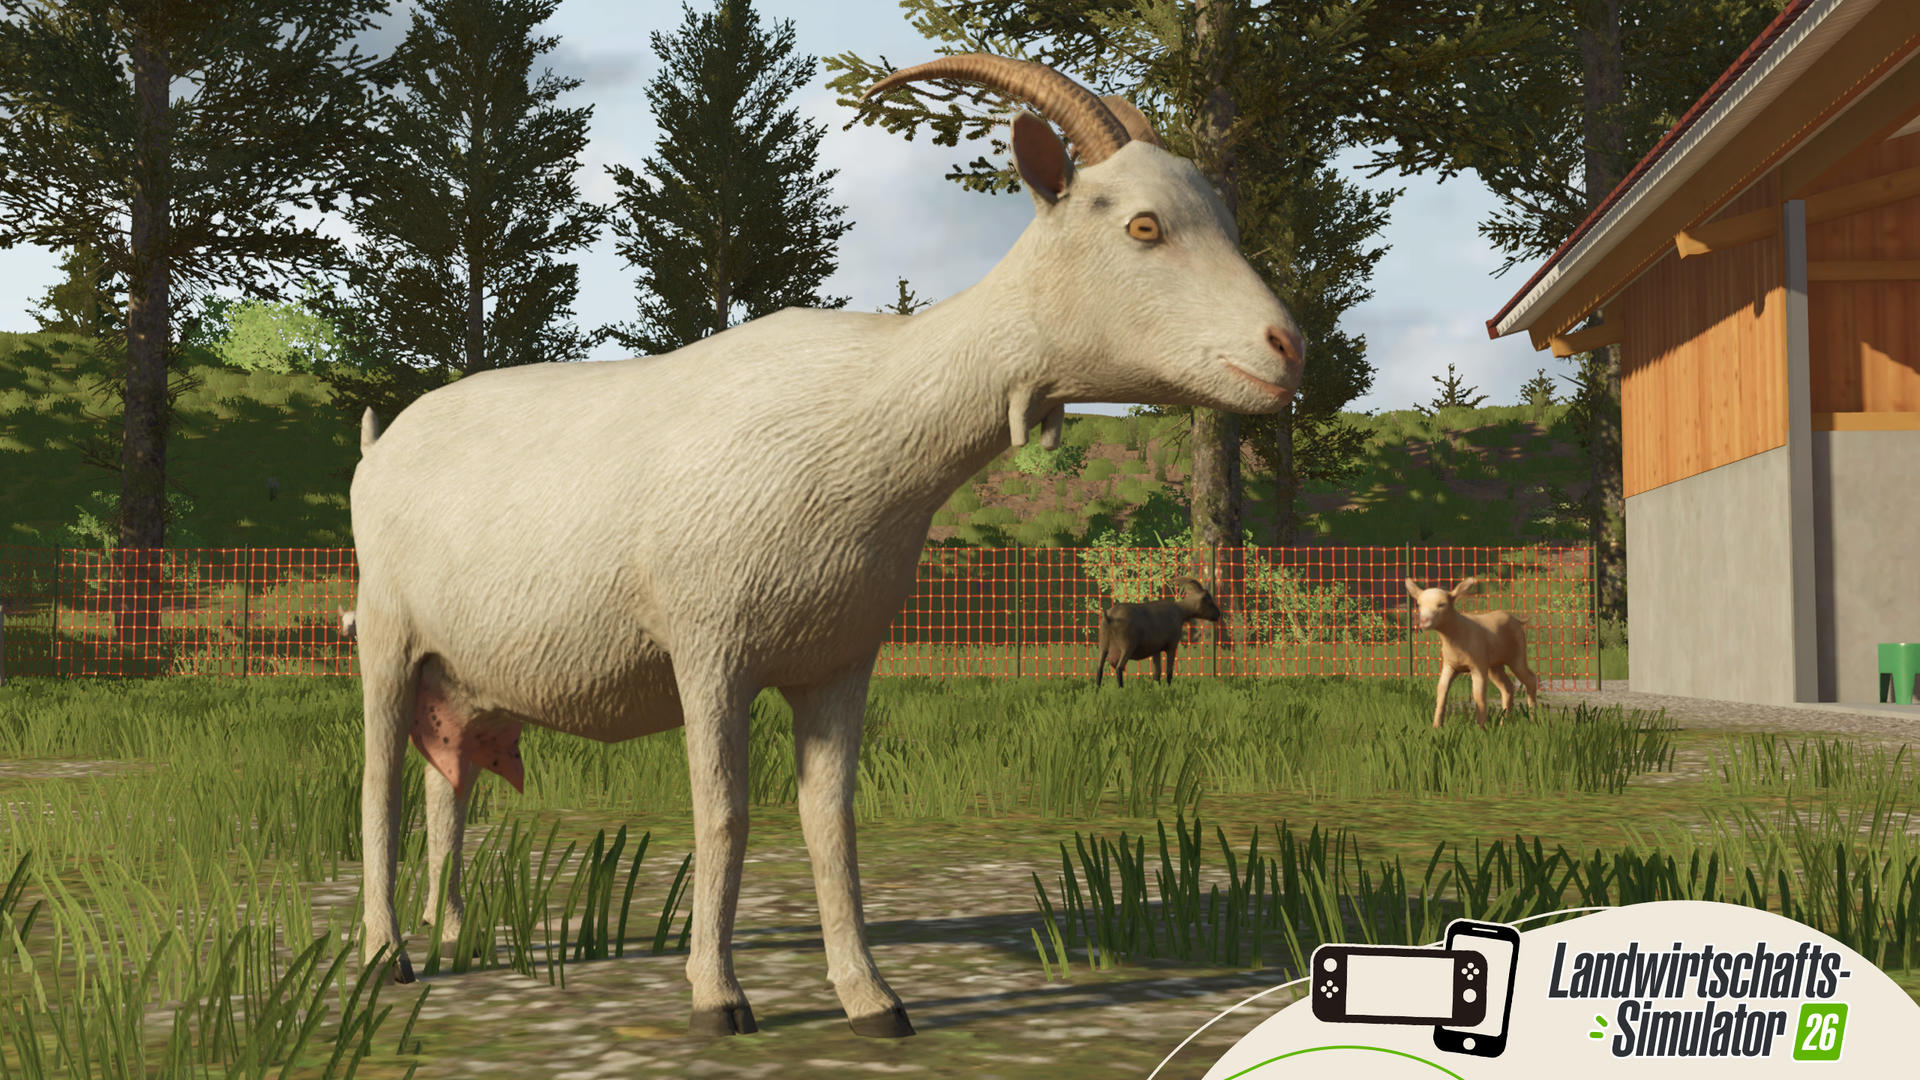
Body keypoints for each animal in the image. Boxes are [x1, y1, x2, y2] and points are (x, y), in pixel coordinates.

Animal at [348, 54, 1305, 1041]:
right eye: (1144, 225)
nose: (1291, 349)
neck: (867, 412)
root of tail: (379, 446)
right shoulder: (710, 649)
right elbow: (724, 816)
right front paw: (718, 997)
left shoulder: (841, 659)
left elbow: (830, 820)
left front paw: (870, 998)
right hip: (385, 634)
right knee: (379, 786)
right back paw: (389, 956)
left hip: (464, 675)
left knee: (448, 787)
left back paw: (454, 930)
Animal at [1404, 577, 1540, 728]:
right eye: (1419, 605)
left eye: (1441, 604)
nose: (1424, 621)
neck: (1457, 634)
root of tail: (1517, 620)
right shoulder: (1449, 665)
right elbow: (1442, 690)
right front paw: (1436, 726)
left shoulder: (1477, 665)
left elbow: (1478, 694)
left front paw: (1481, 727)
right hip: (1494, 665)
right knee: (1507, 687)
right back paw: (1504, 723)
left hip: (1517, 654)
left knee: (1530, 679)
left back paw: (1533, 719)